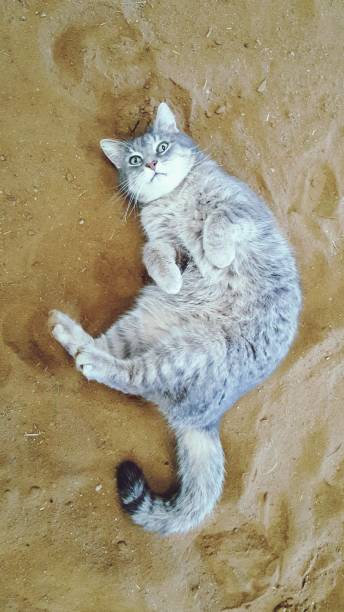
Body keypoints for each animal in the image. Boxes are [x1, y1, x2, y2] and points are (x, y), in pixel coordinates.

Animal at [48, 103, 300, 532]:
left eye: (162, 147)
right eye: (134, 159)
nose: (151, 163)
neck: (174, 197)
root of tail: (205, 420)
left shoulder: (239, 206)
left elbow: (217, 222)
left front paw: (217, 256)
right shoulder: (164, 239)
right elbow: (154, 251)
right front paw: (171, 277)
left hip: (188, 350)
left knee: (125, 371)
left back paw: (84, 352)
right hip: (151, 327)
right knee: (116, 361)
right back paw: (68, 334)